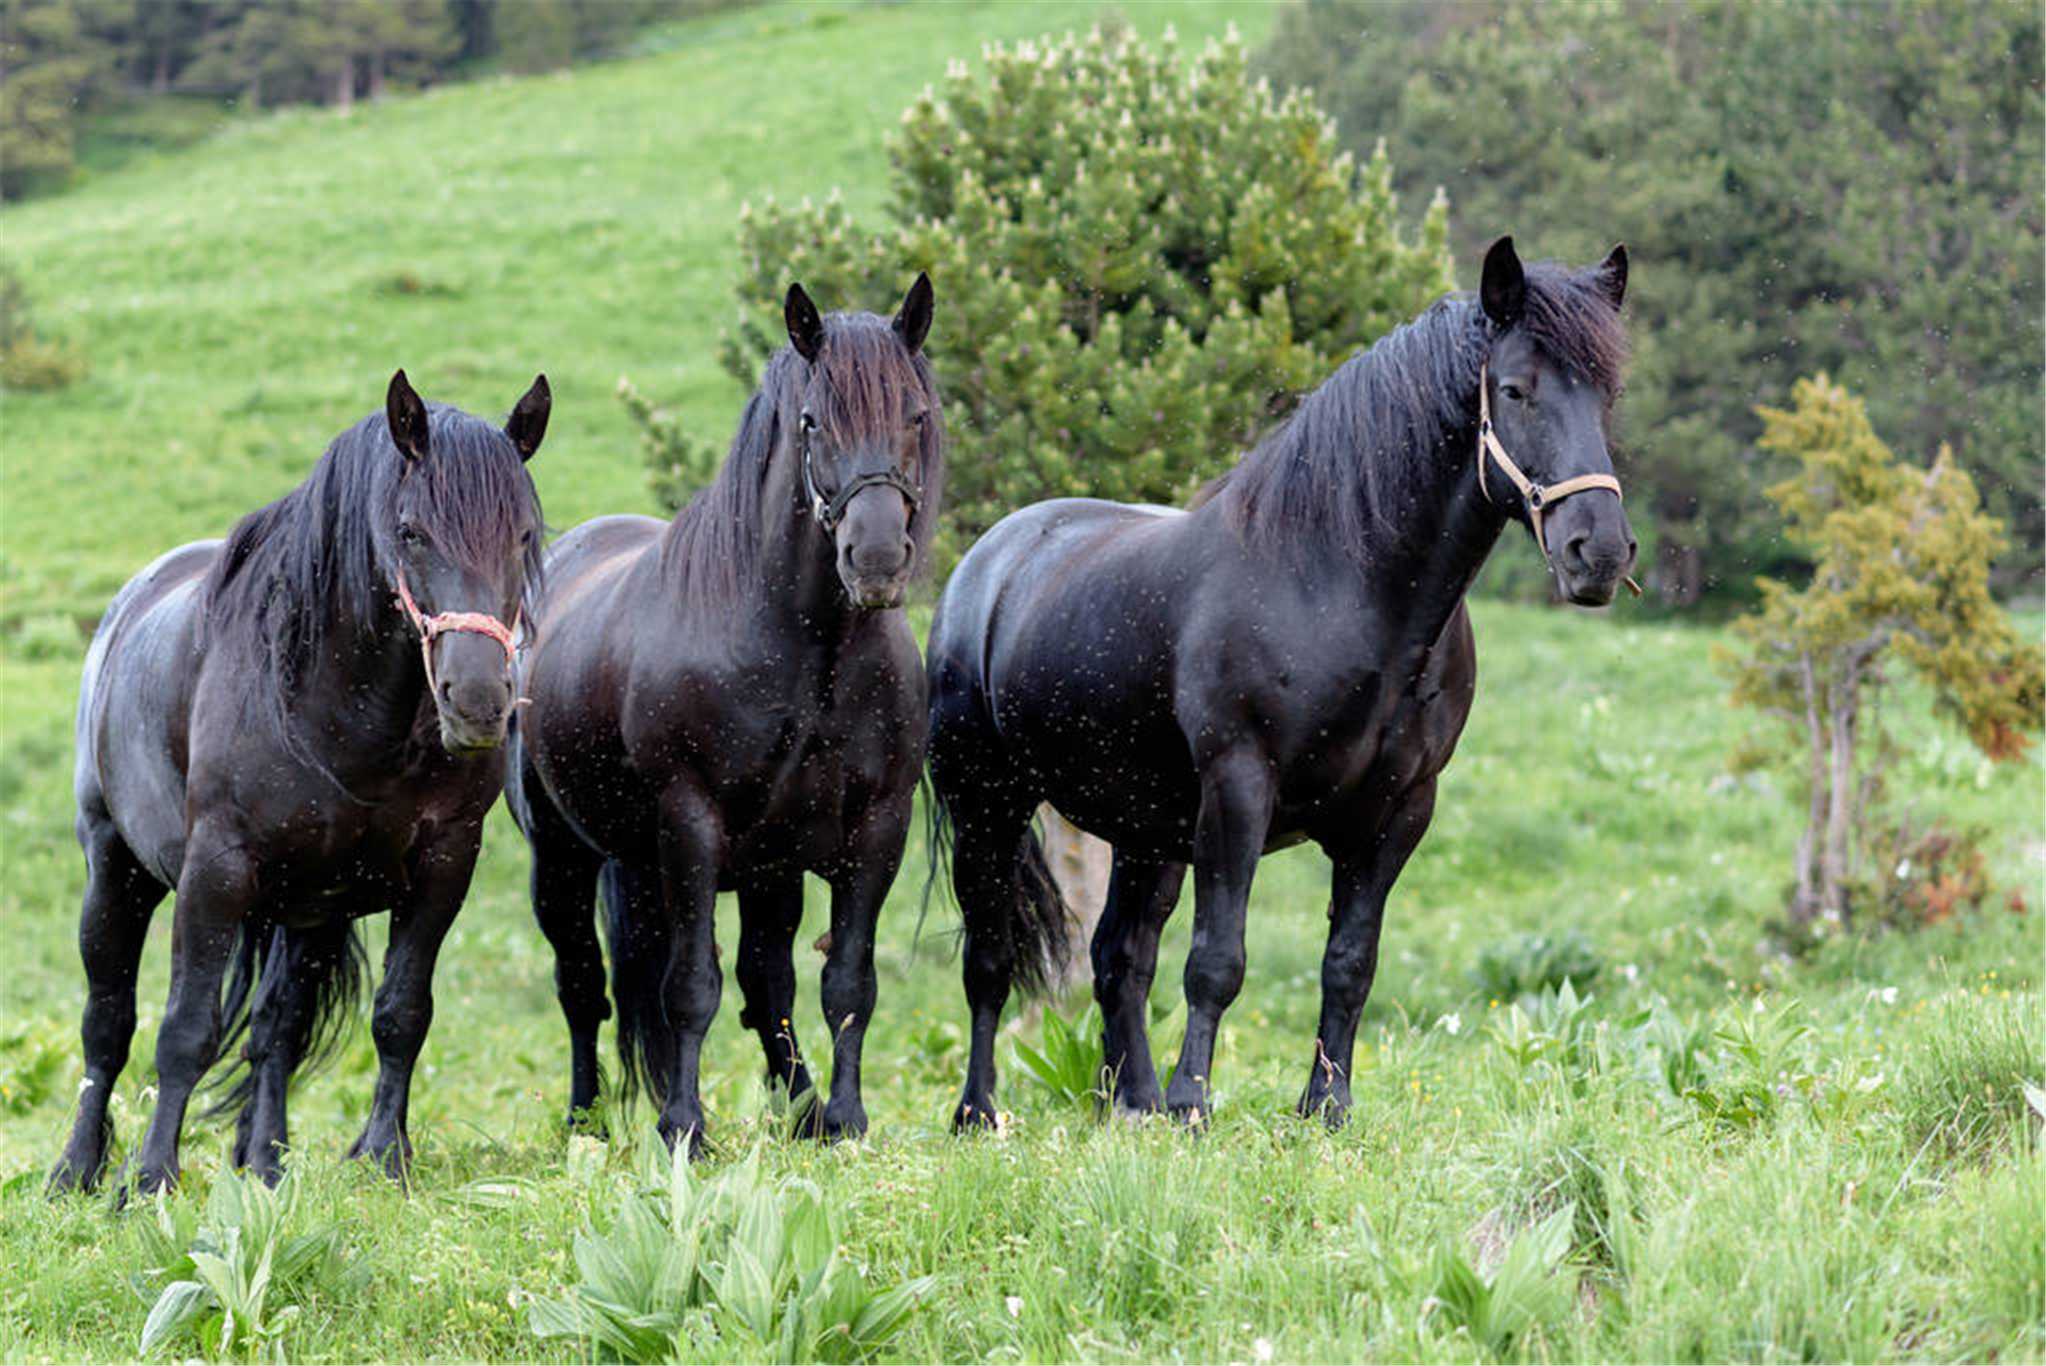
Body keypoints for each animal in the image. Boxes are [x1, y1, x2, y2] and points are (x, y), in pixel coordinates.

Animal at [53, 368, 552, 1186]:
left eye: (523, 535)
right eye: (410, 532)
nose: (478, 701)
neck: (332, 708)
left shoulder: (443, 866)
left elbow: (399, 1013)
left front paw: (384, 1157)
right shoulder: (214, 872)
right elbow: (184, 1028)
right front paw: (152, 1178)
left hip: (303, 911)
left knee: (274, 1027)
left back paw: (264, 1165)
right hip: (116, 870)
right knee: (108, 1023)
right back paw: (77, 1170)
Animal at [507, 274, 937, 1153]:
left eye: (915, 414)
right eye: (812, 421)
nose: (876, 560)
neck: (805, 654)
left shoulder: (877, 829)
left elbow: (846, 982)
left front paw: (843, 1120)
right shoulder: (691, 824)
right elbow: (691, 988)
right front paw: (683, 1127)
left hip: (752, 871)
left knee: (765, 984)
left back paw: (803, 1108)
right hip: (563, 861)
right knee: (582, 987)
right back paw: (585, 1122)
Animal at [924, 237, 1628, 1128]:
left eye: (1607, 395)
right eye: (1514, 390)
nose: (1597, 551)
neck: (1339, 584)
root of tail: (988, 562)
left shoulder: (1399, 814)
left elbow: (1350, 963)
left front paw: (1325, 1108)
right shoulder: (1238, 790)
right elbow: (1217, 961)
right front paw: (1194, 1105)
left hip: (1146, 831)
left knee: (1120, 956)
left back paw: (1134, 1106)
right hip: (988, 804)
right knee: (990, 959)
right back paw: (981, 1113)